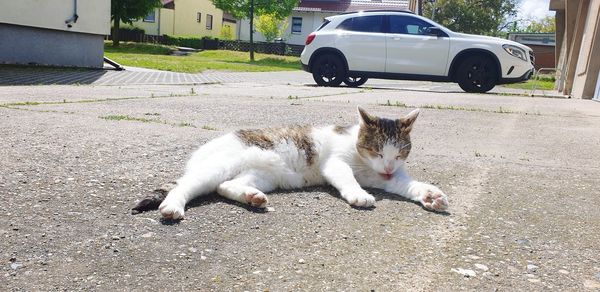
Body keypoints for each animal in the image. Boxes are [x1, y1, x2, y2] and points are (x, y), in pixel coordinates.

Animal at [150, 107, 448, 219]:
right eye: (376, 151)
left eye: (398, 155)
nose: (387, 168)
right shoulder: (336, 163)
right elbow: (347, 178)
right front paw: (358, 194)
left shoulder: (388, 178)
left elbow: (409, 185)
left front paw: (430, 195)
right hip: (217, 167)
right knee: (186, 185)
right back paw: (172, 206)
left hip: (262, 176)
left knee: (225, 186)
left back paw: (251, 197)